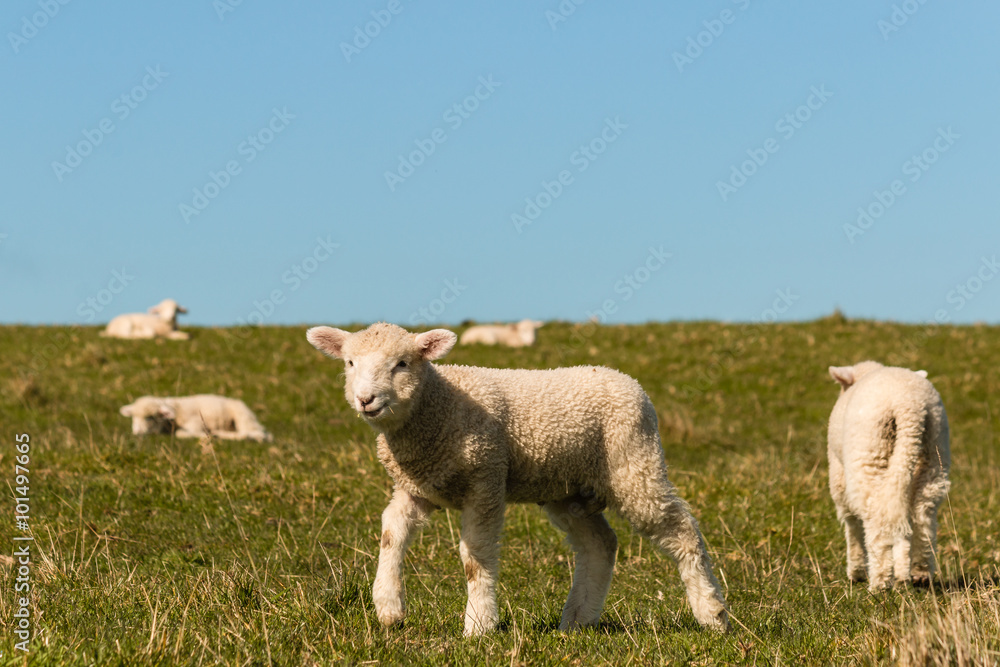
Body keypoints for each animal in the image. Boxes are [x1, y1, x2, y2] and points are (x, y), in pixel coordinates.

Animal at [119, 394, 272, 442]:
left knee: (255, 434)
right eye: (133, 417)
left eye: (149, 418)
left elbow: (181, 433)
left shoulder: (196, 422)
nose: (136, 432)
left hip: (241, 416)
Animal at [306, 322, 729, 636]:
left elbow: (474, 556)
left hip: (634, 466)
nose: (366, 400)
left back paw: (712, 612)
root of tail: (627, 380)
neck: (437, 407)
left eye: (402, 364)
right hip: (569, 489)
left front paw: (479, 625)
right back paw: (578, 619)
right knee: (600, 545)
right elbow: (390, 533)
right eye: (349, 362)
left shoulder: (486, 479)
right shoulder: (415, 487)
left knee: (682, 531)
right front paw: (389, 608)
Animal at [827, 361, 950, 590]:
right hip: (934, 454)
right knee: (921, 514)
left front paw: (856, 572)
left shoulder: (838, 474)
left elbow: (851, 523)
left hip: (869, 454)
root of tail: (910, 407)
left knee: (876, 518)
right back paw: (918, 574)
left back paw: (879, 582)